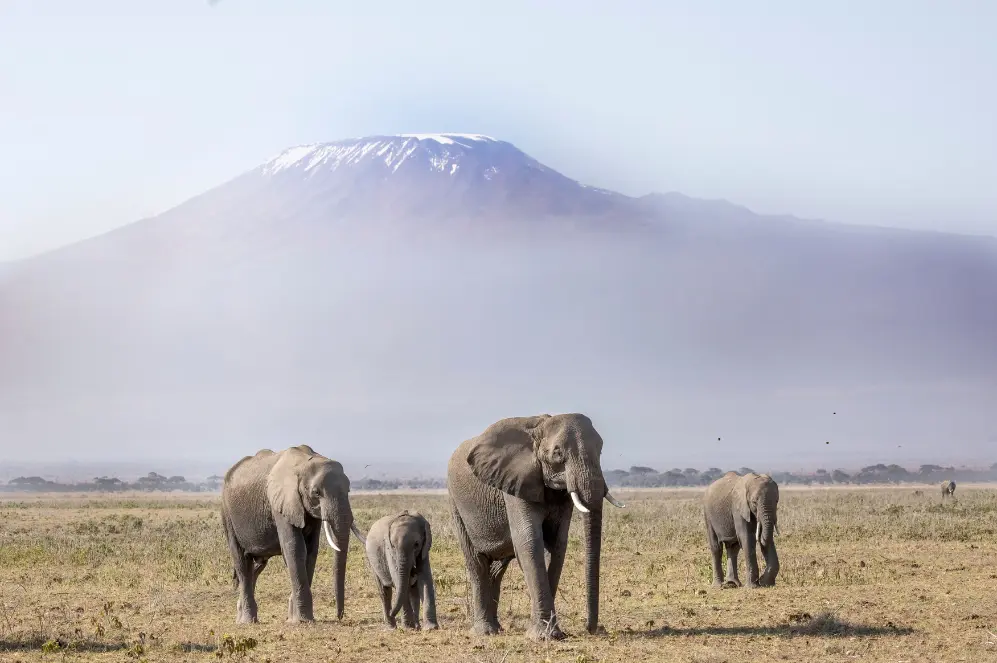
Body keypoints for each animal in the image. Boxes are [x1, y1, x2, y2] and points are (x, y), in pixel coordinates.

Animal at [220, 446, 364, 628]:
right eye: (316, 493)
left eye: (349, 490)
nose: (339, 616)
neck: (303, 463)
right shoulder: (282, 504)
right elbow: (295, 549)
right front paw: (303, 620)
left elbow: (311, 550)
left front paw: (295, 617)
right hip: (227, 513)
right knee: (241, 562)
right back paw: (247, 622)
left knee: (257, 565)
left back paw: (241, 616)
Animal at [446, 412, 624, 640]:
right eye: (557, 452)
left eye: (600, 449)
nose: (592, 629)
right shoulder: (515, 483)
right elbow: (530, 542)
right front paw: (543, 637)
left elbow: (556, 545)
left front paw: (551, 633)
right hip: (456, 505)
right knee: (477, 564)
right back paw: (484, 632)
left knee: (497, 570)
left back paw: (497, 628)